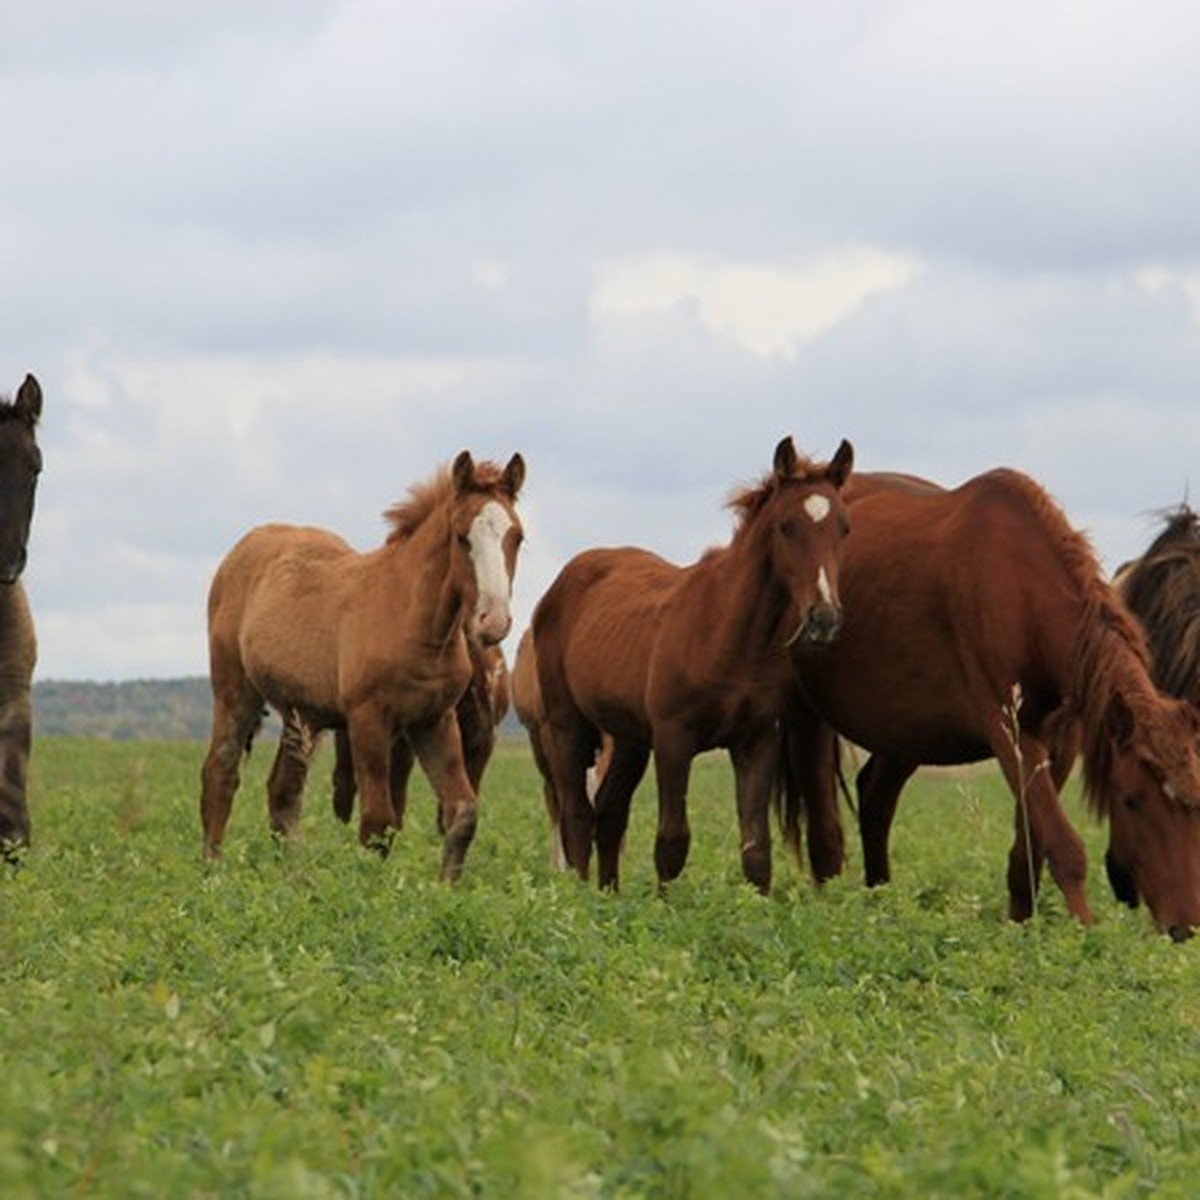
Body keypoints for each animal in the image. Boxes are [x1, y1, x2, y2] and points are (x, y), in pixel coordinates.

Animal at [199, 451, 523, 883]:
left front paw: (445, 890)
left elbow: (462, 813)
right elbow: (377, 822)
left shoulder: (433, 721)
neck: (413, 620)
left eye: (517, 536)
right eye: (461, 536)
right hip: (235, 693)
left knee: (282, 793)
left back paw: (296, 876)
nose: (493, 622)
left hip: (300, 713)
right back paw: (213, 871)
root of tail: (242, 548)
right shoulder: (368, 720)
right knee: (221, 772)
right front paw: (370, 891)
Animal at [532, 436, 854, 897]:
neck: (725, 635)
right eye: (786, 526)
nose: (823, 618)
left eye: (843, 527)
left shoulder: (756, 742)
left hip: (629, 738)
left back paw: (609, 897)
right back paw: (581, 897)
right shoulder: (673, 739)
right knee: (577, 815)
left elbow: (756, 850)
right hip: (567, 727)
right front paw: (665, 908)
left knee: (609, 813)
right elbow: (671, 842)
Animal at [782, 468, 1200, 936]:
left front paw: (1021, 927)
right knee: (823, 823)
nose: (1185, 928)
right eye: (1130, 799)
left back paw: (881, 906)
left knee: (875, 799)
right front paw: (1084, 935)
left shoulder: (1059, 739)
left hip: (906, 729)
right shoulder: (1007, 729)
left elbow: (1029, 847)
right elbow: (1063, 845)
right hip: (808, 716)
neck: (1020, 589)